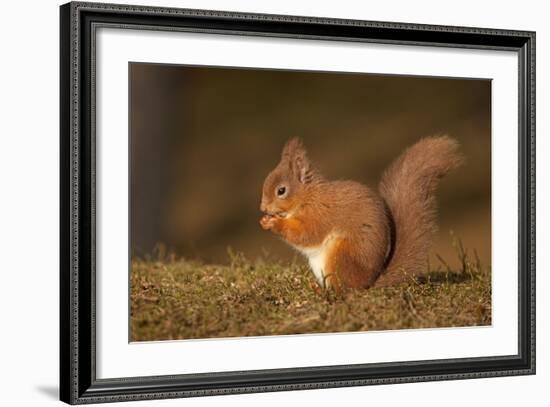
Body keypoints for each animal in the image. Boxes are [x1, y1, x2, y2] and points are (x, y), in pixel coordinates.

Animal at [260, 136, 464, 290]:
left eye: (281, 191)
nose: (263, 208)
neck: (308, 197)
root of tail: (368, 283)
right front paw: (264, 220)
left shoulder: (320, 214)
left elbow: (306, 234)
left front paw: (273, 223)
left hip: (341, 255)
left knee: (344, 290)